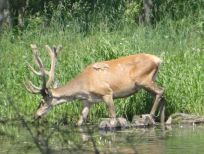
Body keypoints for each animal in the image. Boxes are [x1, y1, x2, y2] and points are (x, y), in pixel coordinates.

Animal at [24, 44, 165, 127]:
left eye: (42, 102)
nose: (35, 115)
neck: (83, 86)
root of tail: (158, 60)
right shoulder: (88, 101)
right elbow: (80, 121)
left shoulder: (107, 92)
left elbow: (113, 119)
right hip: (147, 81)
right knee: (162, 94)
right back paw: (161, 120)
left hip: (143, 80)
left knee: (161, 91)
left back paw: (150, 115)